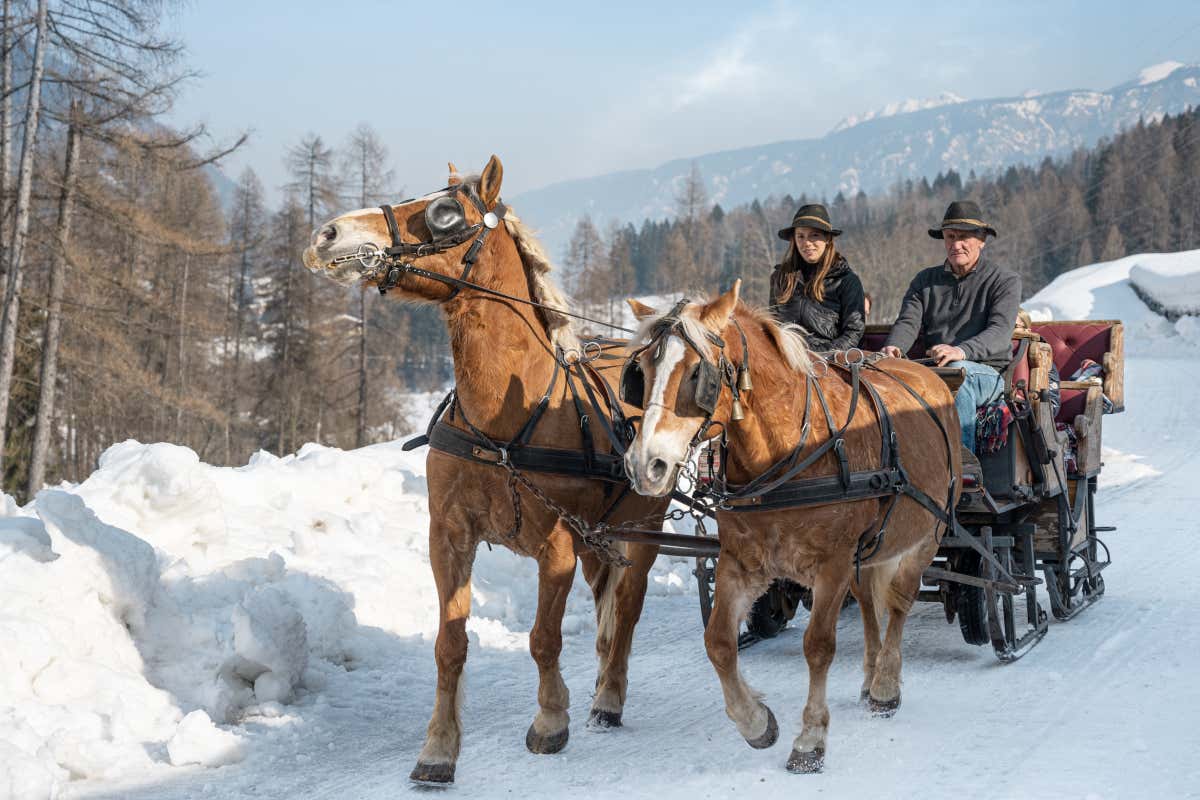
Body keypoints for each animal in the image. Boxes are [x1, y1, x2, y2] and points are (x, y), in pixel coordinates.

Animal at [302, 156, 667, 785]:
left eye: (446, 213)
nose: (328, 234)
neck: (505, 417)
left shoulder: (556, 545)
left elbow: (543, 639)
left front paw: (550, 719)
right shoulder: (449, 536)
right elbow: (449, 645)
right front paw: (438, 749)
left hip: (640, 530)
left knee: (628, 606)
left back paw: (608, 698)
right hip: (598, 538)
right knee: (608, 604)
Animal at [621, 280, 960, 773]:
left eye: (697, 373)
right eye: (641, 371)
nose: (645, 465)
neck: (786, 453)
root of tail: (926, 373)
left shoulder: (833, 564)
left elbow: (818, 646)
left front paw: (810, 740)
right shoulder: (741, 562)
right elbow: (718, 642)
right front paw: (756, 722)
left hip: (925, 536)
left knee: (898, 602)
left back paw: (884, 686)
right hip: (873, 547)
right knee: (870, 603)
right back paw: (870, 675)